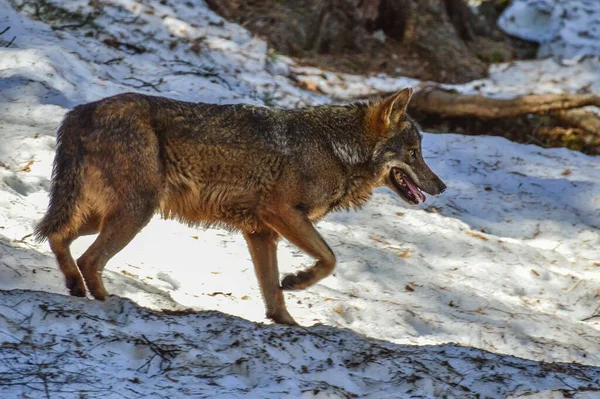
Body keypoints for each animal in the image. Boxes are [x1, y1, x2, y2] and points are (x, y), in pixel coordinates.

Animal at [32, 87, 446, 324]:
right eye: (414, 153)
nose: (441, 187)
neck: (336, 149)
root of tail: (80, 110)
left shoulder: (261, 233)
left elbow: (272, 291)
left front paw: (287, 323)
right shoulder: (281, 214)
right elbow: (329, 260)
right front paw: (297, 281)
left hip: (104, 214)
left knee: (59, 238)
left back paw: (75, 287)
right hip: (134, 214)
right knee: (88, 258)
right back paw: (109, 302)